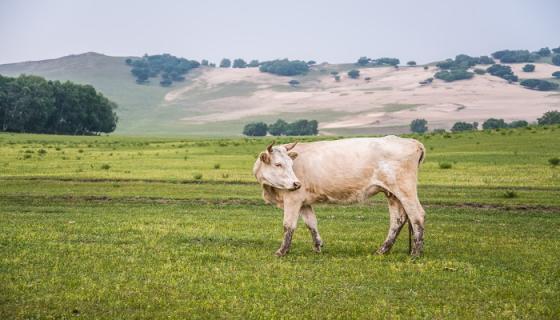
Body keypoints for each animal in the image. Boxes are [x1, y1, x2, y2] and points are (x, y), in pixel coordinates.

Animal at [252, 137, 426, 258]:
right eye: (278, 164)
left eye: (290, 163)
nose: (296, 183)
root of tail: (412, 142)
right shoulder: (304, 202)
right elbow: (311, 223)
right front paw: (317, 247)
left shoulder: (293, 199)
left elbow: (288, 225)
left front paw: (282, 251)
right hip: (392, 194)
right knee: (398, 219)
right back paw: (382, 250)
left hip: (405, 190)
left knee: (417, 215)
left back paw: (415, 253)